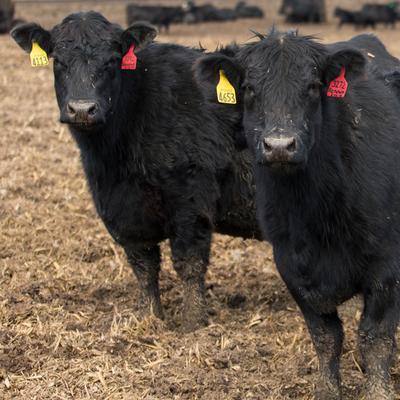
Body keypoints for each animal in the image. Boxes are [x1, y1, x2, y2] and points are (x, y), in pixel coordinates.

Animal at [10, 10, 260, 332]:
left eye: (112, 60)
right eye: (57, 61)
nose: (82, 109)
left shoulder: (191, 198)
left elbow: (189, 262)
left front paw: (193, 325)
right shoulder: (119, 208)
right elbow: (143, 265)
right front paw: (147, 319)